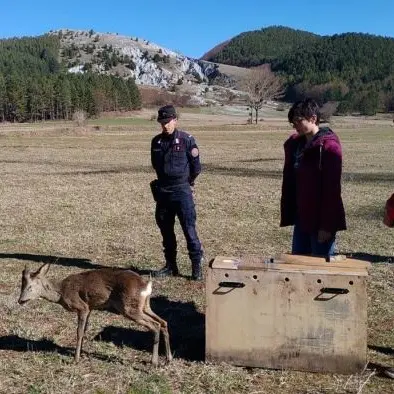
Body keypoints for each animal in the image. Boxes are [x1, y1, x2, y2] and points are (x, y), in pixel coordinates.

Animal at [18, 264, 172, 364]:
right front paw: (81, 353)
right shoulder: (90, 307)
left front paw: (76, 359)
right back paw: (167, 360)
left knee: (155, 325)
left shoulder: (82, 307)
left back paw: (154, 362)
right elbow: (85, 330)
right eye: (21, 286)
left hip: (129, 308)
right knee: (163, 322)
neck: (61, 293)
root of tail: (147, 285)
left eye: (30, 287)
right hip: (144, 306)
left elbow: (79, 332)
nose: (20, 300)